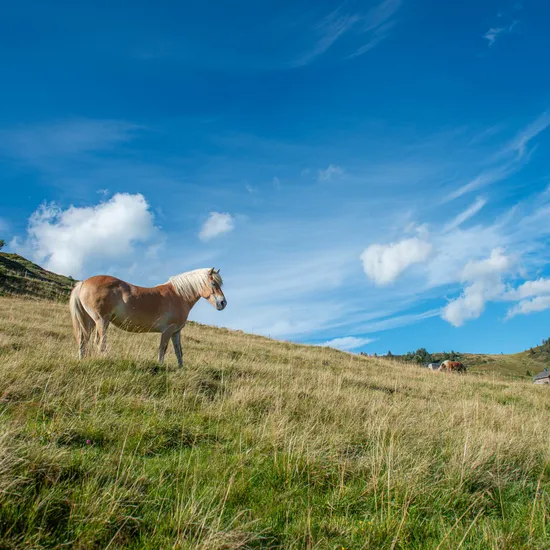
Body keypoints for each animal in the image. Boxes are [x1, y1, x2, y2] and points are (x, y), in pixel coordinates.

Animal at [70, 268, 226, 366]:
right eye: (213, 283)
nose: (223, 303)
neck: (178, 296)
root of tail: (83, 282)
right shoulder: (167, 331)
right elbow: (163, 349)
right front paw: (160, 366)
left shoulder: (176, 332)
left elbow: (178, 352)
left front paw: (181, 368)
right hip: (101, 321)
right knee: (100, 343)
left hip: (89, 321)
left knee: (83, 340)